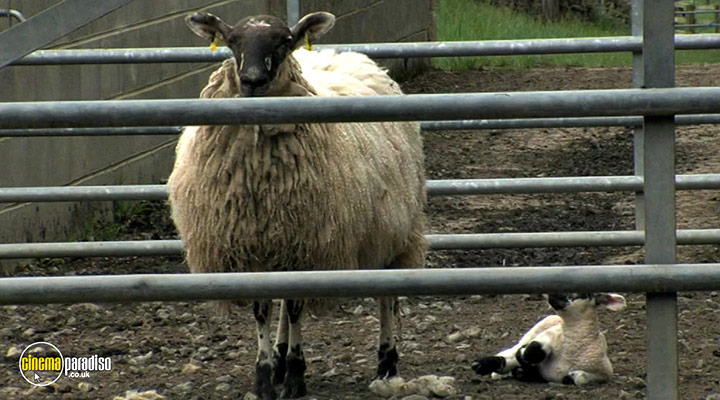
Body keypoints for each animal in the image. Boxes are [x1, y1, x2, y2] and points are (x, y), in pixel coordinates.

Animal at [167, 11, 426, 400]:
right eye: (232, 41)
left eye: (284, 42)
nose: (252, 81)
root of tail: (344, 54)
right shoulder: (253, 247)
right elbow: (263, 310)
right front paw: (265, 377)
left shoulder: (305, 245)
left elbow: (294, 307)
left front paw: (294, 377)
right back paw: (278, 355)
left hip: (396, 230)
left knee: (386, 298)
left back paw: (387, 362)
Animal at [471, 292, 626, 385]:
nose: (551, 294)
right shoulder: (549, 335)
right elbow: (533, 349)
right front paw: (525, 355)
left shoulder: (605, 373)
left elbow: (580, 379)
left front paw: (571, 377)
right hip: (534, 330)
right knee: (510, 352)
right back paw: (486, 366)